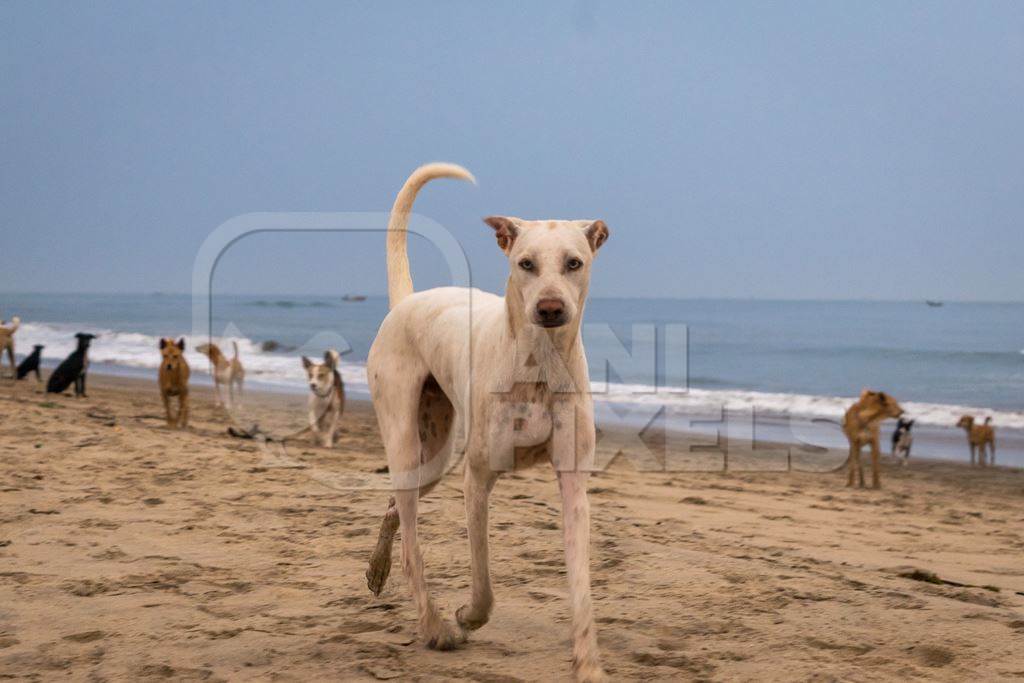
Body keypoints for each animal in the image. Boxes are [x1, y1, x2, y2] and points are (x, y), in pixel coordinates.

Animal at [364, 162, 610, 679]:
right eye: (526, 263)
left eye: (574, 263)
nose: (550, 309)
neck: (537, 366)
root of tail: (407, 301)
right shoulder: (476, 478)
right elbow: (483, 580)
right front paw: (466, 617)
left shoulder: (574, 484)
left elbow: (581, 585)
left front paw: (588, 664)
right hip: (407, 440)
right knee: (413, 544)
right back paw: (435, 626)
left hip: (434, 456)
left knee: (395, 507)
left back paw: (377, 570)